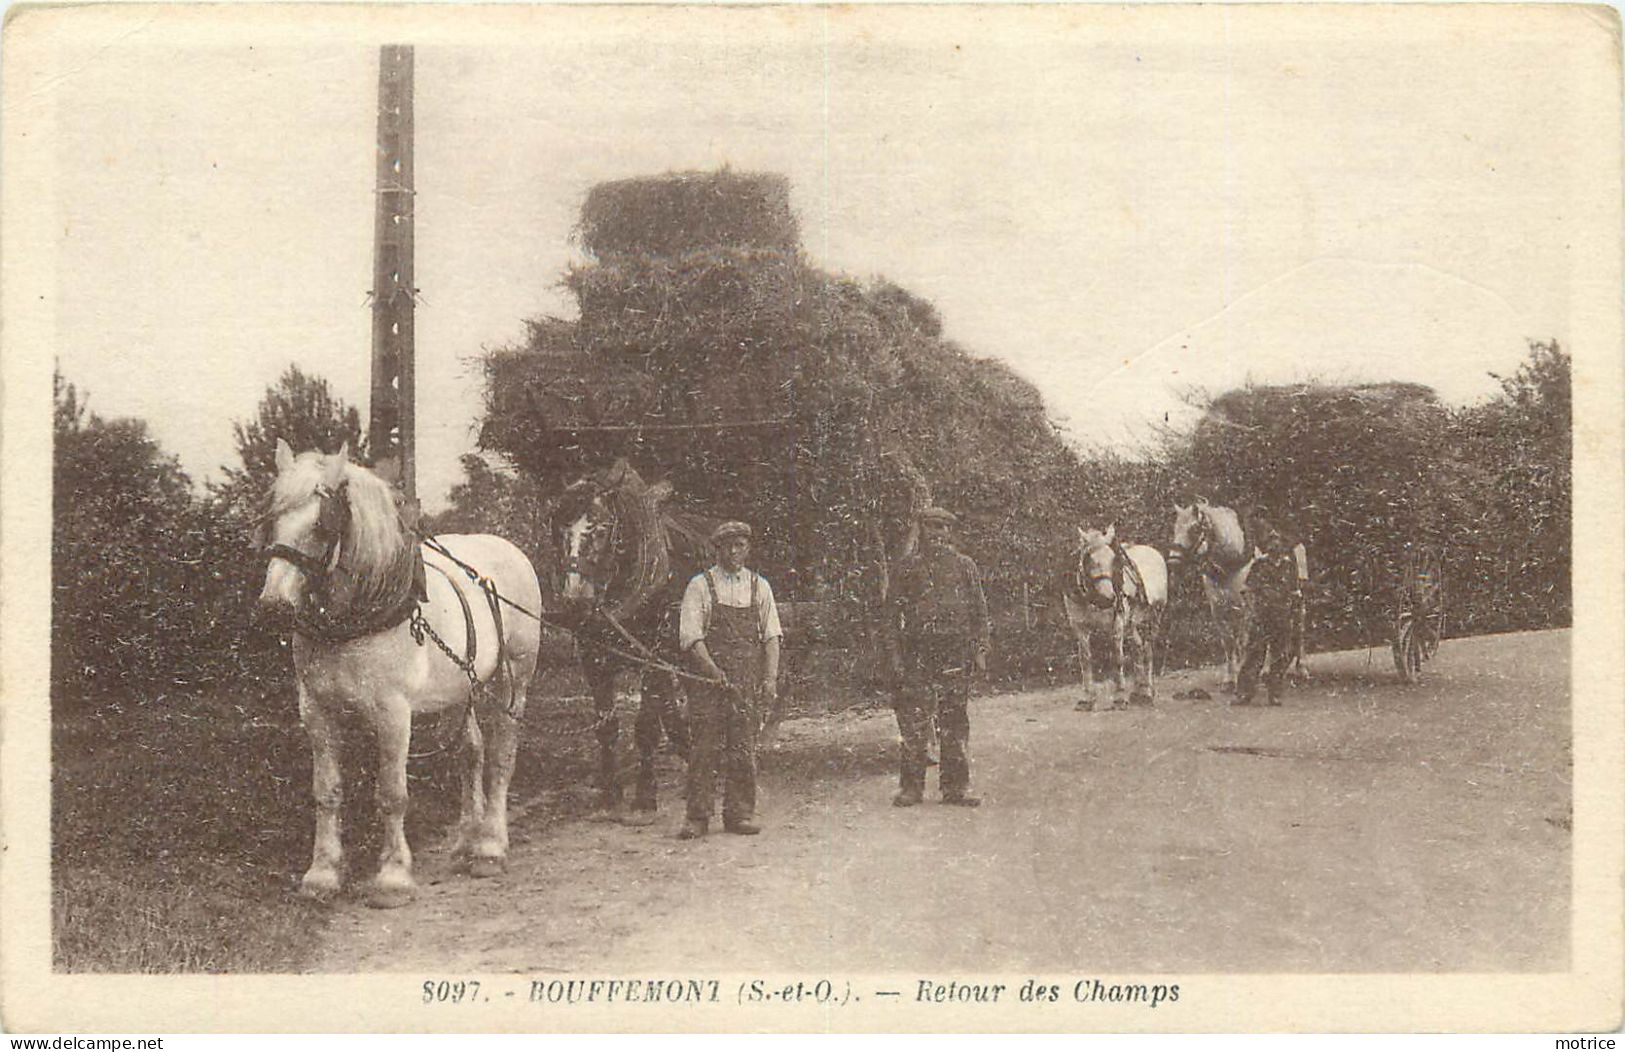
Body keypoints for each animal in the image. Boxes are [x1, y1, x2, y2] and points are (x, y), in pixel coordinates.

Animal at [256, 439, 542, 910]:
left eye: (321, 525)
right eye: (272, 519)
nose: (273, 606)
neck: (355, 617)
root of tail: (507, 548)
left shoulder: (393, 713)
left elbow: (391, 794)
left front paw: (392, 877)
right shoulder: (316, 710)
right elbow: (327, 792)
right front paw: (323, 873)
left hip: (513, 678)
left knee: (502, 754)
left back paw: (490, 846)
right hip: (459, 689)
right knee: (471, 752)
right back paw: (467, 840)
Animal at [549, 458, 708, 822]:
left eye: (601, 529)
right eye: (561, 530)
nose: (575, 600)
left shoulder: (651, 657)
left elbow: (645, 726)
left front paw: (645, 795)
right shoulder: (593, 658)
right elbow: (606, 727)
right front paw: (610, 794)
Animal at [1059, 523, 1163, 712]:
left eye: (1114, 560)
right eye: (1089, 559)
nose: (1109, 598)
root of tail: (1152, 551)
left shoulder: (1117, 624)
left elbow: (1117, 659)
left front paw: (1119, 698)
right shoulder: (1080, 627)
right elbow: (1085, 660)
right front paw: (1087, 699)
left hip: (1154, 618)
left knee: (1148, 651)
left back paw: (1147, 692)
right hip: (1134, 622)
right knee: (1138, 648)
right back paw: (1137, 692)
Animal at [1170, 500, 1306, 692]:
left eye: (1194, 529)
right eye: (1175, 528)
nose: (1173, 562)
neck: (1232, 562)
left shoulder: (1245, 611)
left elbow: (1242, 644)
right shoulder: (1218, 611)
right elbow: (1228, 644)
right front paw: (1229, 679)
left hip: (1298, 601)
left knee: (1300, 631)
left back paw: (1300, 670)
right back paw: (1267, 670)